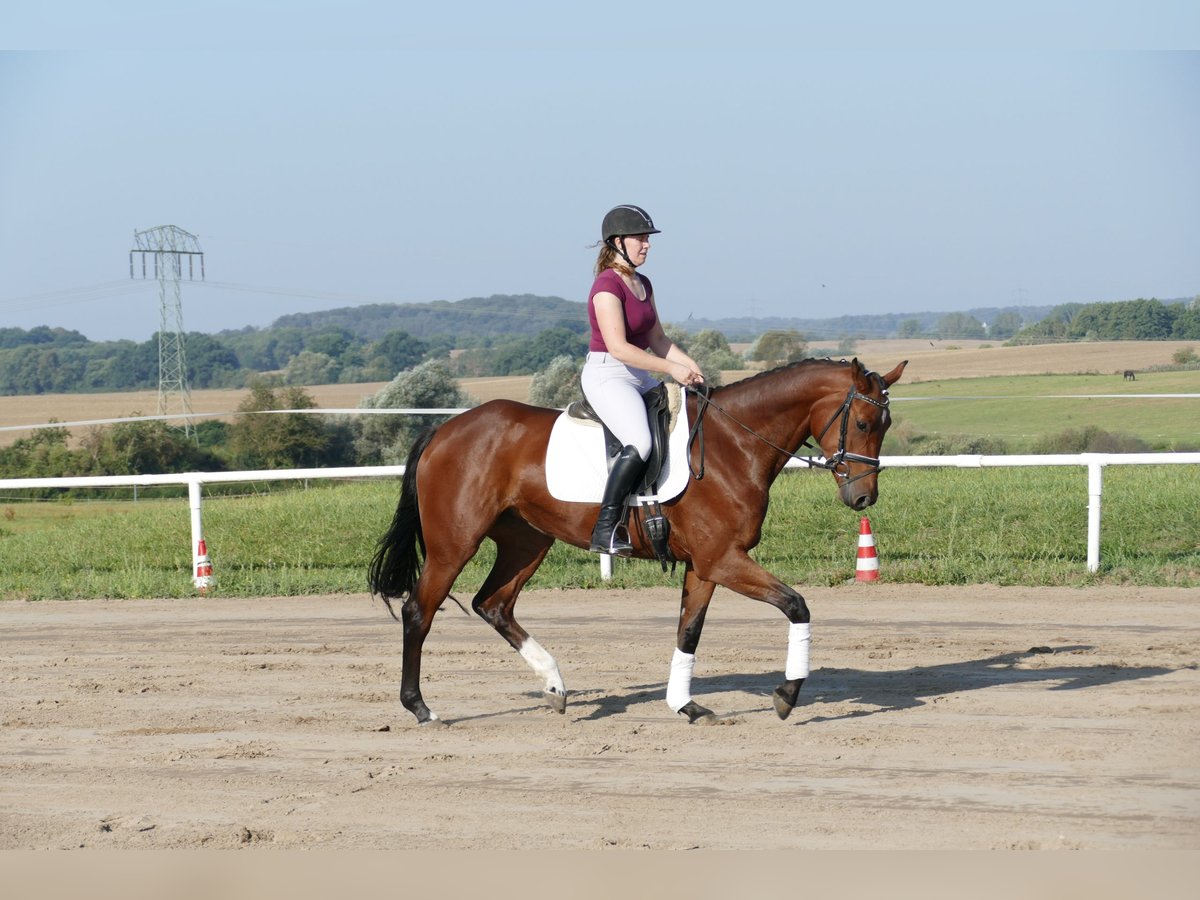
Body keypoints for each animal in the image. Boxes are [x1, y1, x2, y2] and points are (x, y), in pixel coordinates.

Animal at [369, 357, 902, 724]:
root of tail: (445, 429)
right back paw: (421, 708)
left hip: (527, 542)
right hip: (455, 543)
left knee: (494, 604)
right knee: (420, 611)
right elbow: (797, 605)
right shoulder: (724, 559)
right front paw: (787, 696)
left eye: (886, 425)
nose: (863, 498)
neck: (734, 444)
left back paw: (556, 687)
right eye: (861, 423)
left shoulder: (705, 565)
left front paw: (685, 705)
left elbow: (689, 631)